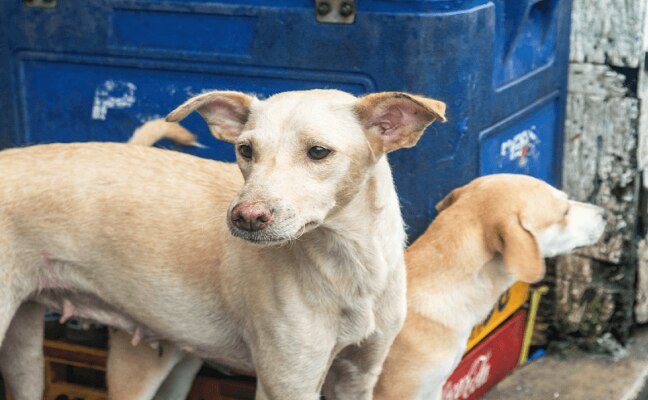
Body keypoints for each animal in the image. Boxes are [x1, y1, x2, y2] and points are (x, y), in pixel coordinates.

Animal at [0, 89, 446, 398]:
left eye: (319, 152)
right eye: (245, 150)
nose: (245, 217)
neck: (349, 268)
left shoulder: (358, 377)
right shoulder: (287, 383)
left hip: (27, 349)